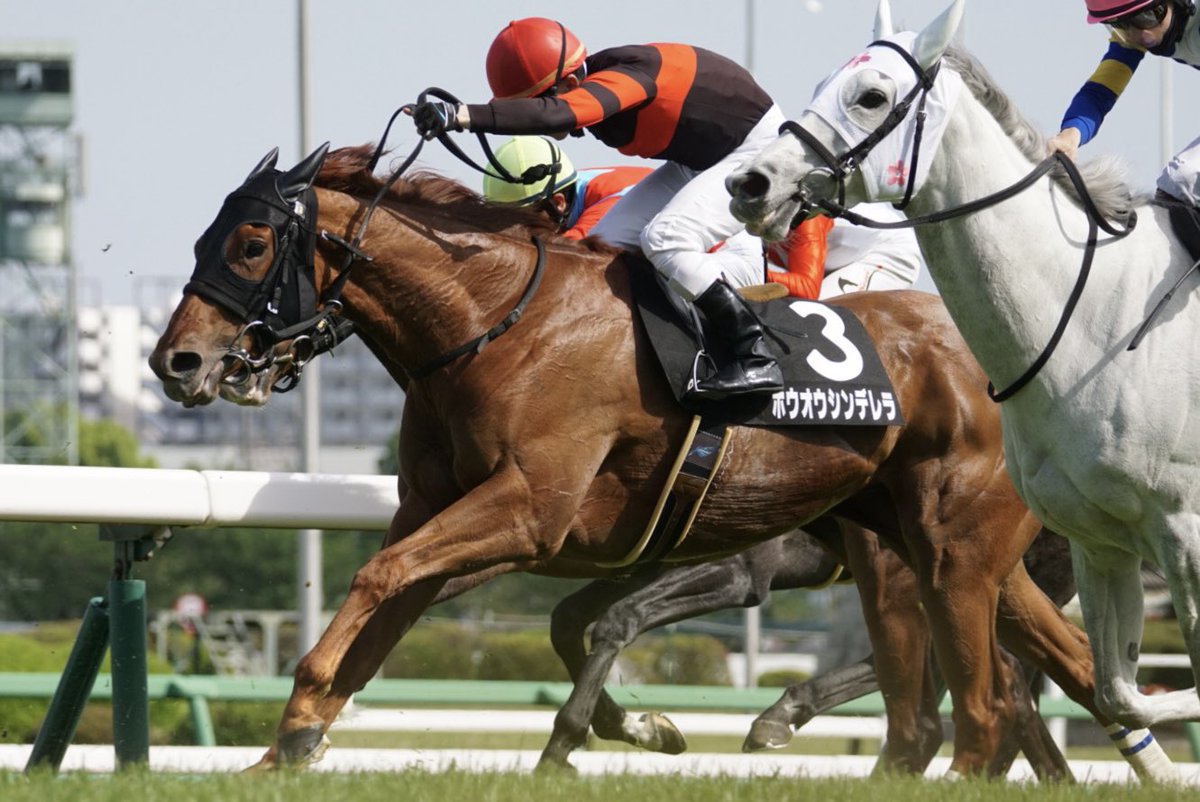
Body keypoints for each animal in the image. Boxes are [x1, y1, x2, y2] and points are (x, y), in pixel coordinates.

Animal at [147, 142, 1161, 779]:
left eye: (251, 242)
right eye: (201, 238)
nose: (177, 362)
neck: (496, 326)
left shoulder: (529, 511)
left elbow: (379, 579)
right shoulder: (455, 516)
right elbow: (395, 611)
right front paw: (285, 746)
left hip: (937, 553)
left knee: (968, 703)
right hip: (953, 553)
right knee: (1063, 672)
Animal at [727, 0, 1200, 757]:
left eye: (871, 96)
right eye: (824, 82)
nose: (750, 184)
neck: (1096, 318)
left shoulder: (1183, 535)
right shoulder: (1099, 539)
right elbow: (1119, 693)